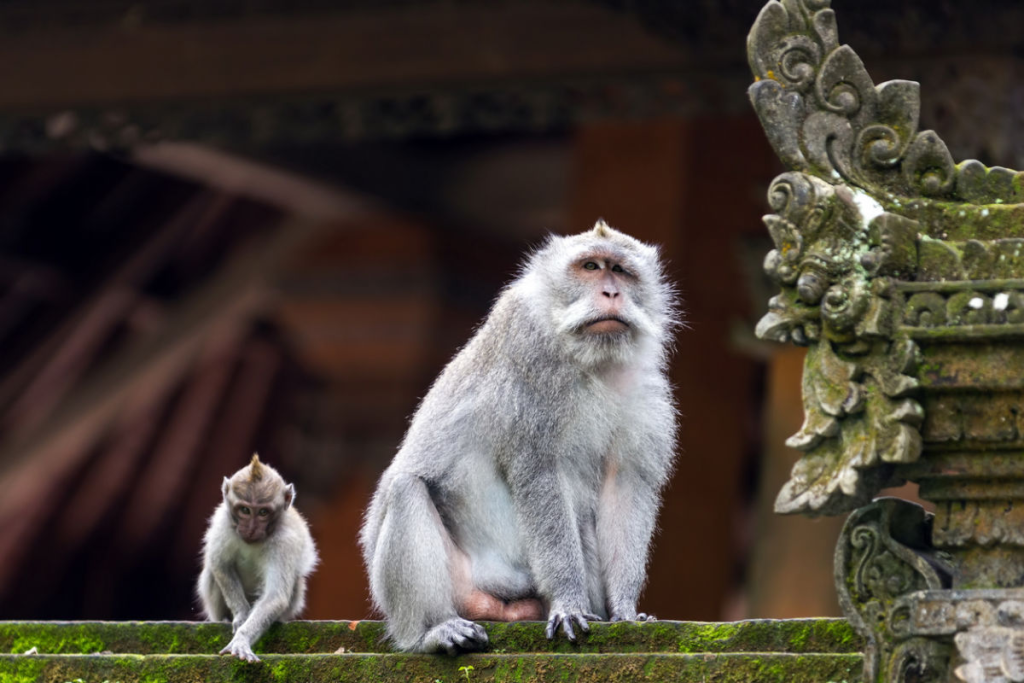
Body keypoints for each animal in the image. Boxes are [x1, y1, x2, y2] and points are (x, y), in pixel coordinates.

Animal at [197, 454, 318, 663]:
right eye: (245, 510)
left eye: (263, 512)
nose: (251, 529)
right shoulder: (222, 522)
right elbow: (220, 565)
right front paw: (241, 615)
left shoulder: (284, 541)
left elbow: (275, 596)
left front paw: (242, 638)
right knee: (212, 573)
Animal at [359, 220, 678, 654]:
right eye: (590, 266)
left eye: (621, 270)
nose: (611, 292)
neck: (591, 359)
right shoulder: (531, 366)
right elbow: (539, 475)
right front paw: (568, 602)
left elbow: (625, 484)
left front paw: (625, 609)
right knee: (406, 491)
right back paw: (432, 631)